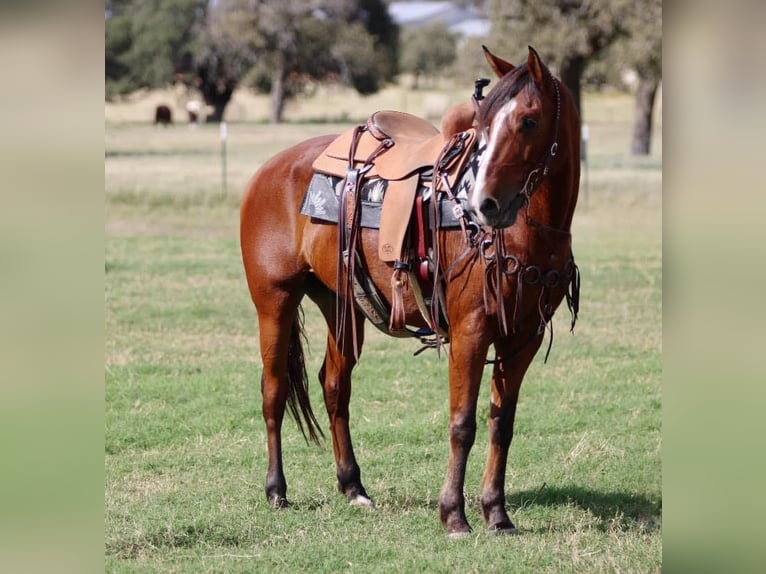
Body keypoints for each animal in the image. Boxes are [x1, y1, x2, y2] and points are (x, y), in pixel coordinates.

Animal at [240, 46, 581, 537]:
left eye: (529, 121)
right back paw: (276, 490)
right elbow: (462, 423)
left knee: (334, 386)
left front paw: (497, 513)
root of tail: (269, 169)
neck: (525, 233)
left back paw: (353, 487)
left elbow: (502, 424)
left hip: (342, 307)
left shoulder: (522, 339)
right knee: (274, 390)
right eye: (484, 124)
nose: (484, 204)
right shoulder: (471, 333)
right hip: (274, 301)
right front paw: (454, 514)